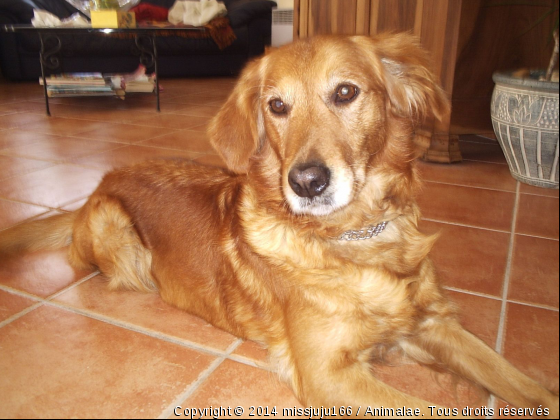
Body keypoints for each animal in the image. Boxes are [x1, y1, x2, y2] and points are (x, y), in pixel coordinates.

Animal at [1, 33, 560, 416]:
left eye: (346, 92)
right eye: (276, 105)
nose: (307, 181)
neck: (353, 238)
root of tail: (90, 193)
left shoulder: (434, 322)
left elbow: (520, 382)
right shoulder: (326, 374)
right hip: (119, 238)